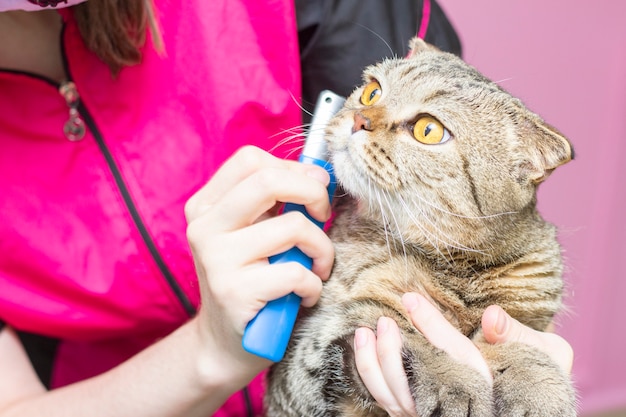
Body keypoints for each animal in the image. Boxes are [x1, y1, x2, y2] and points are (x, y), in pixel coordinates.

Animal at [266, 36, 572, 416]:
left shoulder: (526, 319)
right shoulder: (303, 361)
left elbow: (525, 348)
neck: (457, 266)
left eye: (428, 130)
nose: (359, 119)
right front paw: (454, 380)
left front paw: (540, 389)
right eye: (372, 92)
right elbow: (396, 324)